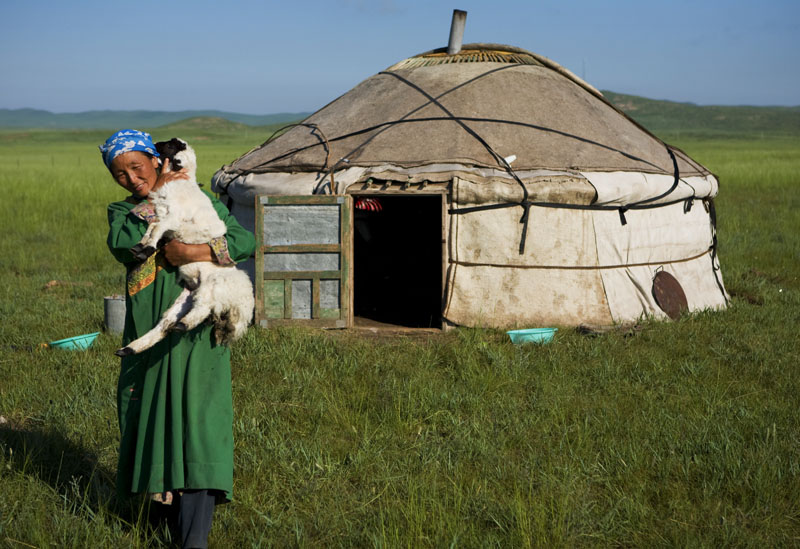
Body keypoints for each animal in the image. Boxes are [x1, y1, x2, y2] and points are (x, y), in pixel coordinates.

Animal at [114, 139, 253, 358]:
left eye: (171, 145)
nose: (154, 144)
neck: (181, 183)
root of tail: (243, 301)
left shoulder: (174, 218)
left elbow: (156, 228)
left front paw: (146, 249)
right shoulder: (164, 216)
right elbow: (152, 228)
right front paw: (140, 248)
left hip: (212, 287)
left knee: (201, 309)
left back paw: (182, 325)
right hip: (186, 298)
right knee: (164, 325)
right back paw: (129, 348)